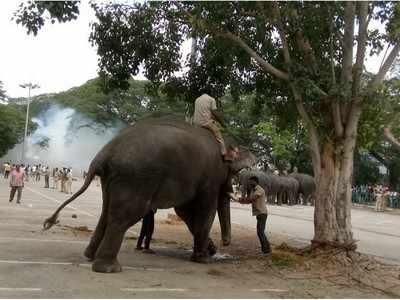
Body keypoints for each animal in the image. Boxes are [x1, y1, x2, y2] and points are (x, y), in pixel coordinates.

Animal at [43, 118, 256, 274]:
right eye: (234, 174)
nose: (224, 244)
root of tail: (103, 155)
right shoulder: (210, 177)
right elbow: (204, 209)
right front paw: (203, 259)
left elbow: (185, 211)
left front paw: (206, 252)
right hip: (135, 178)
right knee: (124, 216)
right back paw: (109, 268)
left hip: (113, 178)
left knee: (106, 212)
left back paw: (89, 256)